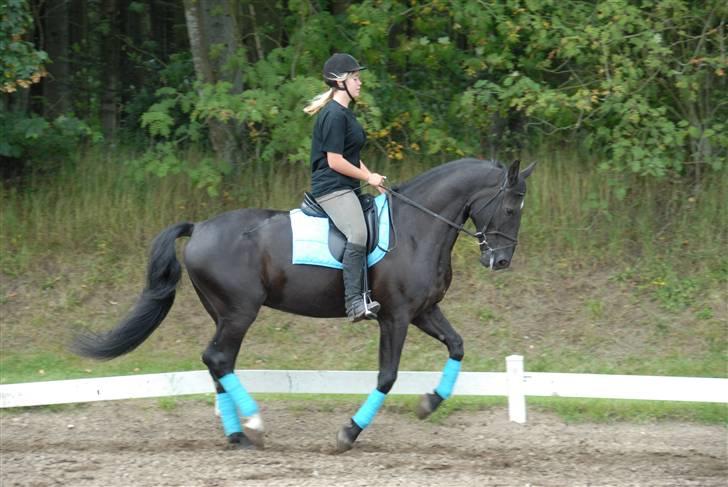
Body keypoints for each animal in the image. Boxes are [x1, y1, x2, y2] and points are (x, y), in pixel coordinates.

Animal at [74, 159, 536, 454]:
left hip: (224, 314)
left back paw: (238, 436)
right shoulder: (396, 316)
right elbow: (387, 376)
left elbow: (457, 346)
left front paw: (429, 403)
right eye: (510, 207)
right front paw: (349, 434)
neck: (417, 230)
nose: (500, 261)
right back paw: (253, 427)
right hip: (239, 312)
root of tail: (200, 226)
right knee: (218, 359)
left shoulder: (423, 311)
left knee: (218, 362)